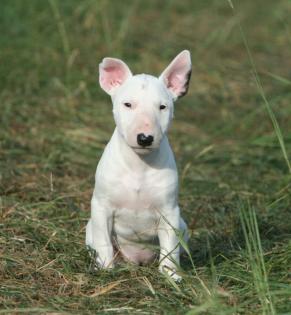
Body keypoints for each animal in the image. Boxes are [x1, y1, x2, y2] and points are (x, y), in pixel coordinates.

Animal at [85, 50, 193, 282]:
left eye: (162, 107)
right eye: (128, 105)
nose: (145, 138)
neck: (138, 165)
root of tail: (137, 260)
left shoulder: (169, 212)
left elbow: (170, 247)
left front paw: (171, 276)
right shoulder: (101, 206)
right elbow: (104, 242)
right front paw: (105, 269)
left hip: (183, 225)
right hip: (90, 226)